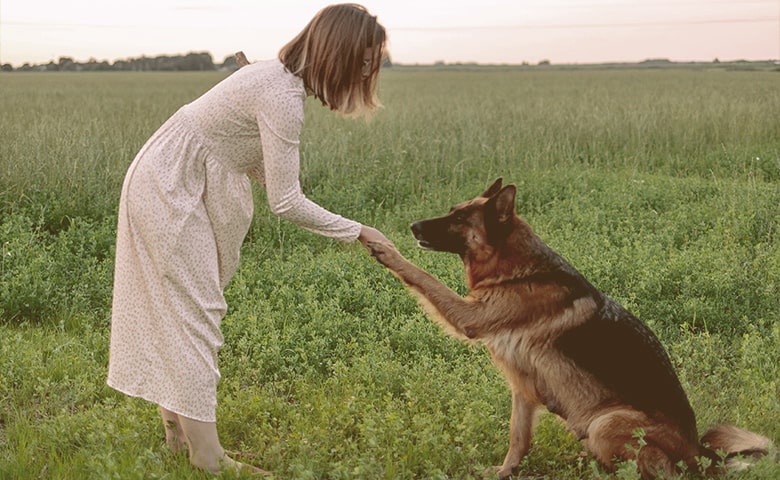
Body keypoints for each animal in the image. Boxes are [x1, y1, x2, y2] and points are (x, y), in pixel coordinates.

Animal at [368, 178, 772, 478]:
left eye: (460, 219)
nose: (412, 227)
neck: (518, 271)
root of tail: (700, 455)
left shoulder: (470, 317)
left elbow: (423, 277)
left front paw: (384, 249)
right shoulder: (522, 389)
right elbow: (517, 439)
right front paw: (504, 472)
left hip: (605, 423)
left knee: (650, 470)